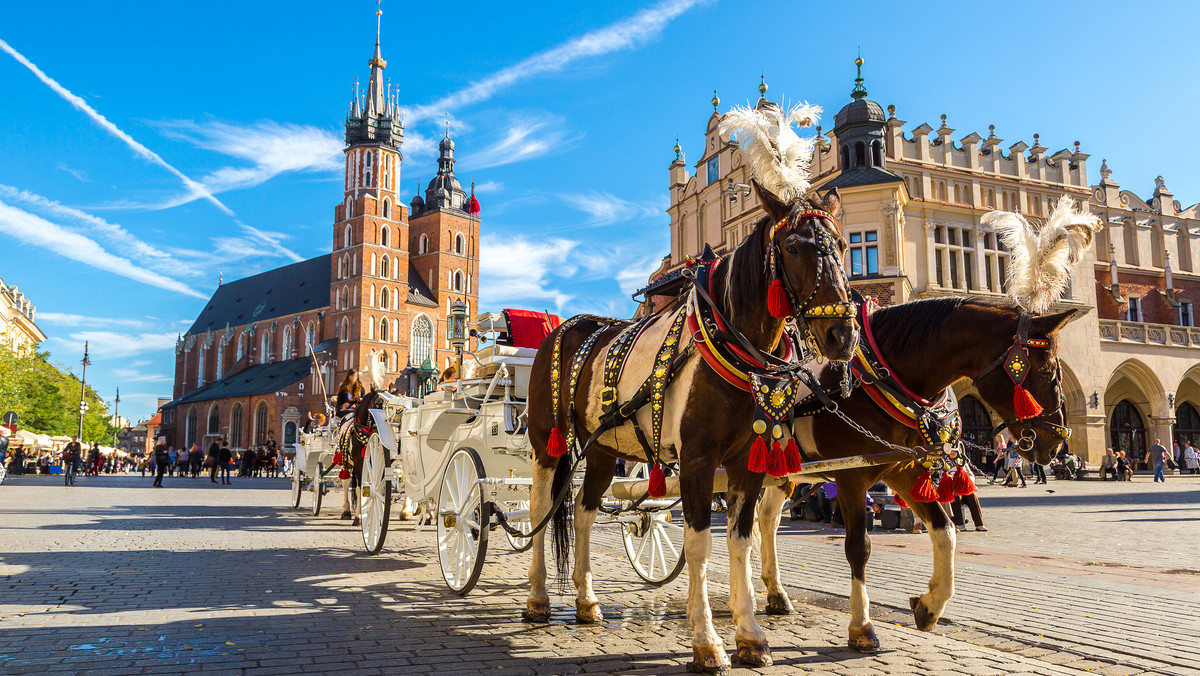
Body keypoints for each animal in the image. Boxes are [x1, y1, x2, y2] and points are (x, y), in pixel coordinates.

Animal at [528, 182, 864, 672]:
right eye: (791, 246)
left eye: (842, 246)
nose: (843, 335)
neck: (730, 346)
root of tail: (561, 328)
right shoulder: (698, 460)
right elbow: (699, 545)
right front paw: (707, 642)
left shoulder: (748, 463)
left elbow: (741, 543)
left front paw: (751, 636)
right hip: (546, 443)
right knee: (540, 508)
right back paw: (537, 598)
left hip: (603, 450)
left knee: (585, 512)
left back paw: (588, 601)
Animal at [768, 294, 1080, 653]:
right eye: (1047, 371)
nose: (1057, 442)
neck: (876, 380)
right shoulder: (851, 476)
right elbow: (858, 547)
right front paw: (861, 626)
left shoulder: (902, 469)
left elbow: (946, 531)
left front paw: (930, 606)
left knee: (765, 523)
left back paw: (775, 595)